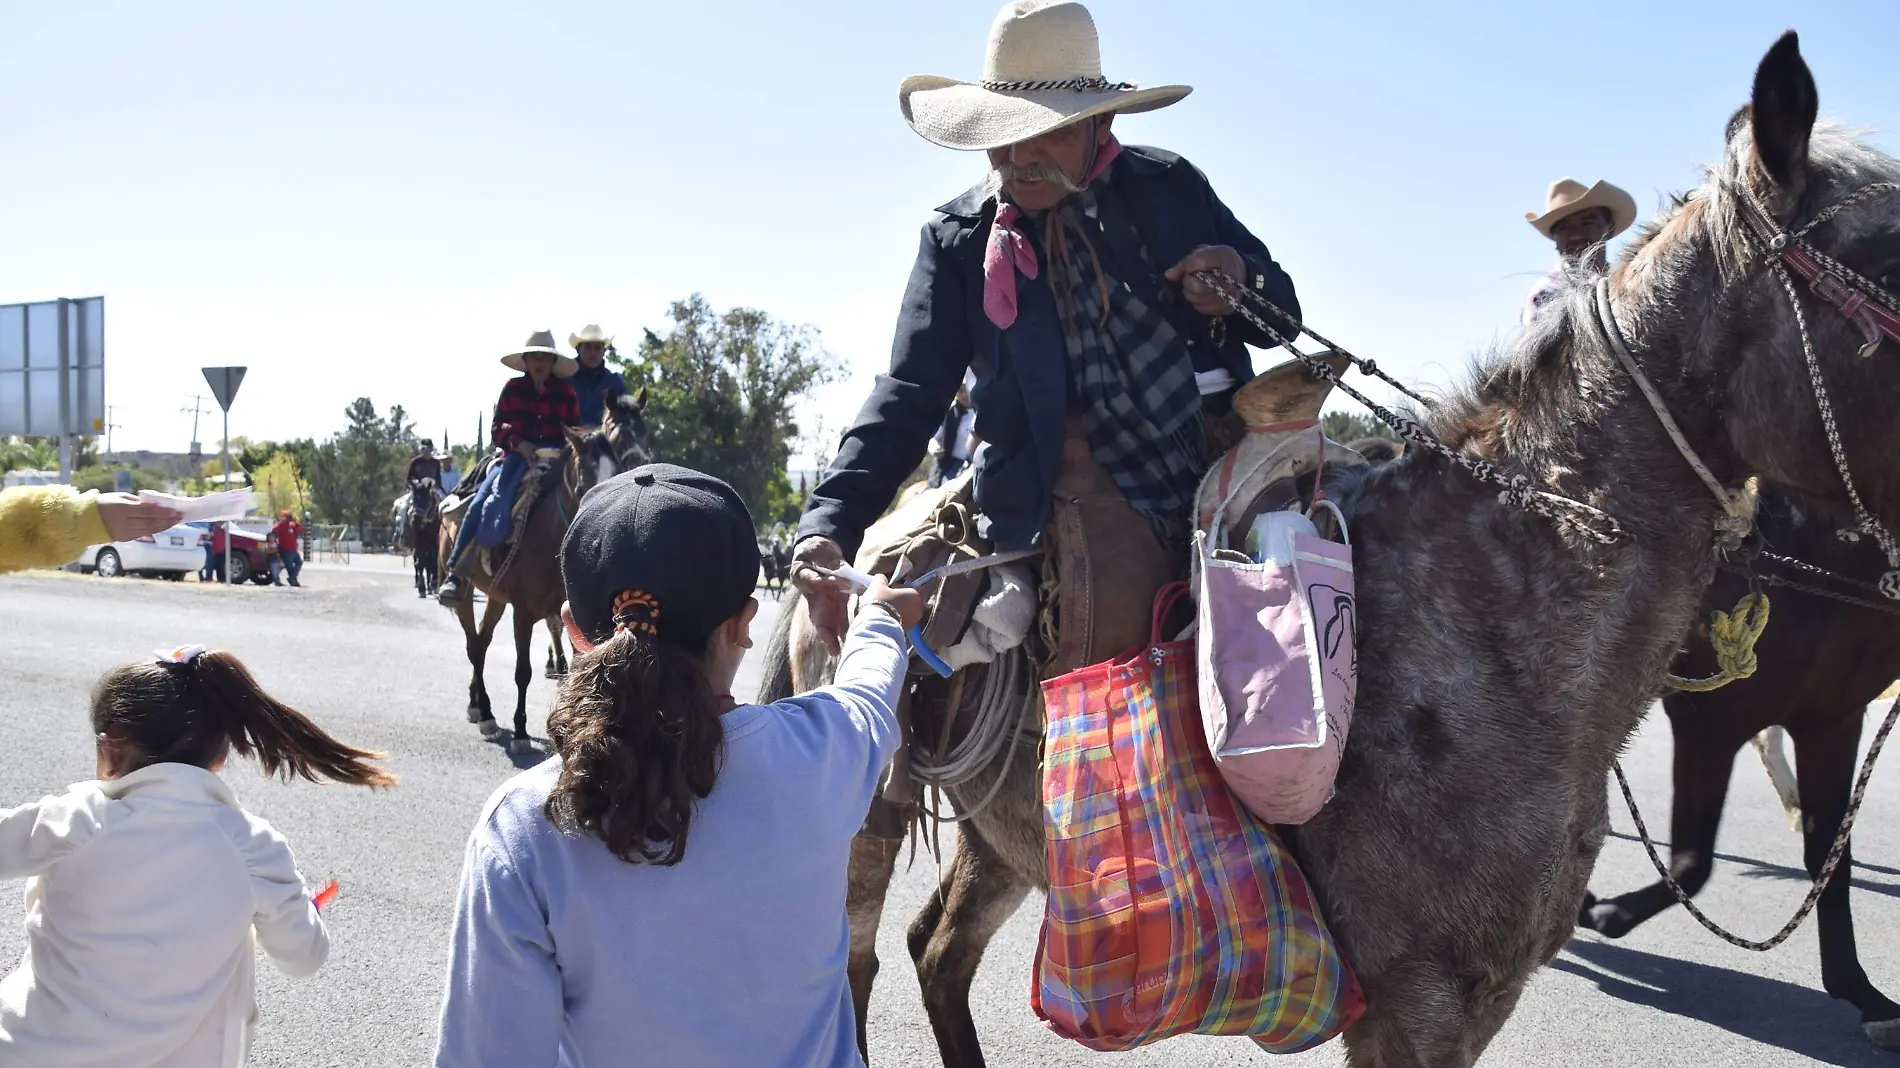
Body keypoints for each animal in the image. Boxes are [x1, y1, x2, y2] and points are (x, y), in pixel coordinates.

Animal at [437, 395, 653, 752]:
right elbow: (522, 671)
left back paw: (478, 706)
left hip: (496, 598)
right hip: (467, 593)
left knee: (482, 641)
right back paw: (486, 714)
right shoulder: (523, 613)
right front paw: (521, 732)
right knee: (473, 645)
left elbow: (581, 669)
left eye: (643, 431)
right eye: (585, 468)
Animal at [1580, 484, 1900, 1048]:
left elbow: (1829, 862)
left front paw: (1862, 994)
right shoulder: (1708, 724)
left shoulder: (1830, 723)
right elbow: (1694, 861)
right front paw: (1604, 913)